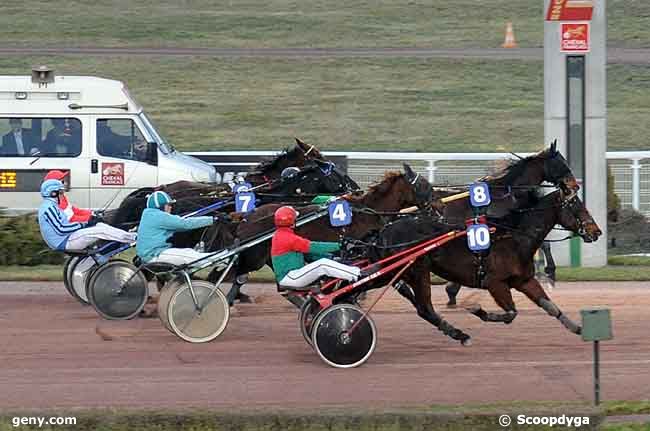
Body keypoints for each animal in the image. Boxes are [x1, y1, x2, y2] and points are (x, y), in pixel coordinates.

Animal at [205, 164, 432, 306]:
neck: (367, 211)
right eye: (423, 185)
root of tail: (245, 216)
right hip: (255, 256)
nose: (434, 204)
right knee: (236, 275)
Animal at [368, 189, 600, 348]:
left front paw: (577, 327)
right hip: (417, 271)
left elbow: (550, 307)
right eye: (577, 206)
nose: (596, 231)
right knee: (425, 308)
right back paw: (460, 334)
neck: (513, 238)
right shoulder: (494, 283)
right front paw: (476, 309)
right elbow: (511, 313)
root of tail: (386, 230)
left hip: (397, 272)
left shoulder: (524, 281)